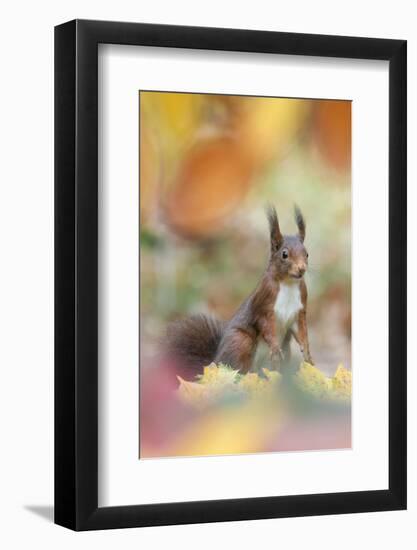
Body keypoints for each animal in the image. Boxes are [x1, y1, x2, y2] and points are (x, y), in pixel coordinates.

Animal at [166, 205, 312, 378]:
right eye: (284, 254)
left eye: (307, 254)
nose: (302, 269)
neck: (288, 283)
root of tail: (214, 363)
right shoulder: (264, 302)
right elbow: (265, 325)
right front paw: (275, 347)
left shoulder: (299, 309)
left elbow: (301, 331)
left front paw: (307, 354)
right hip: (241, 341)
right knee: (239, 367)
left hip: (284, 350)